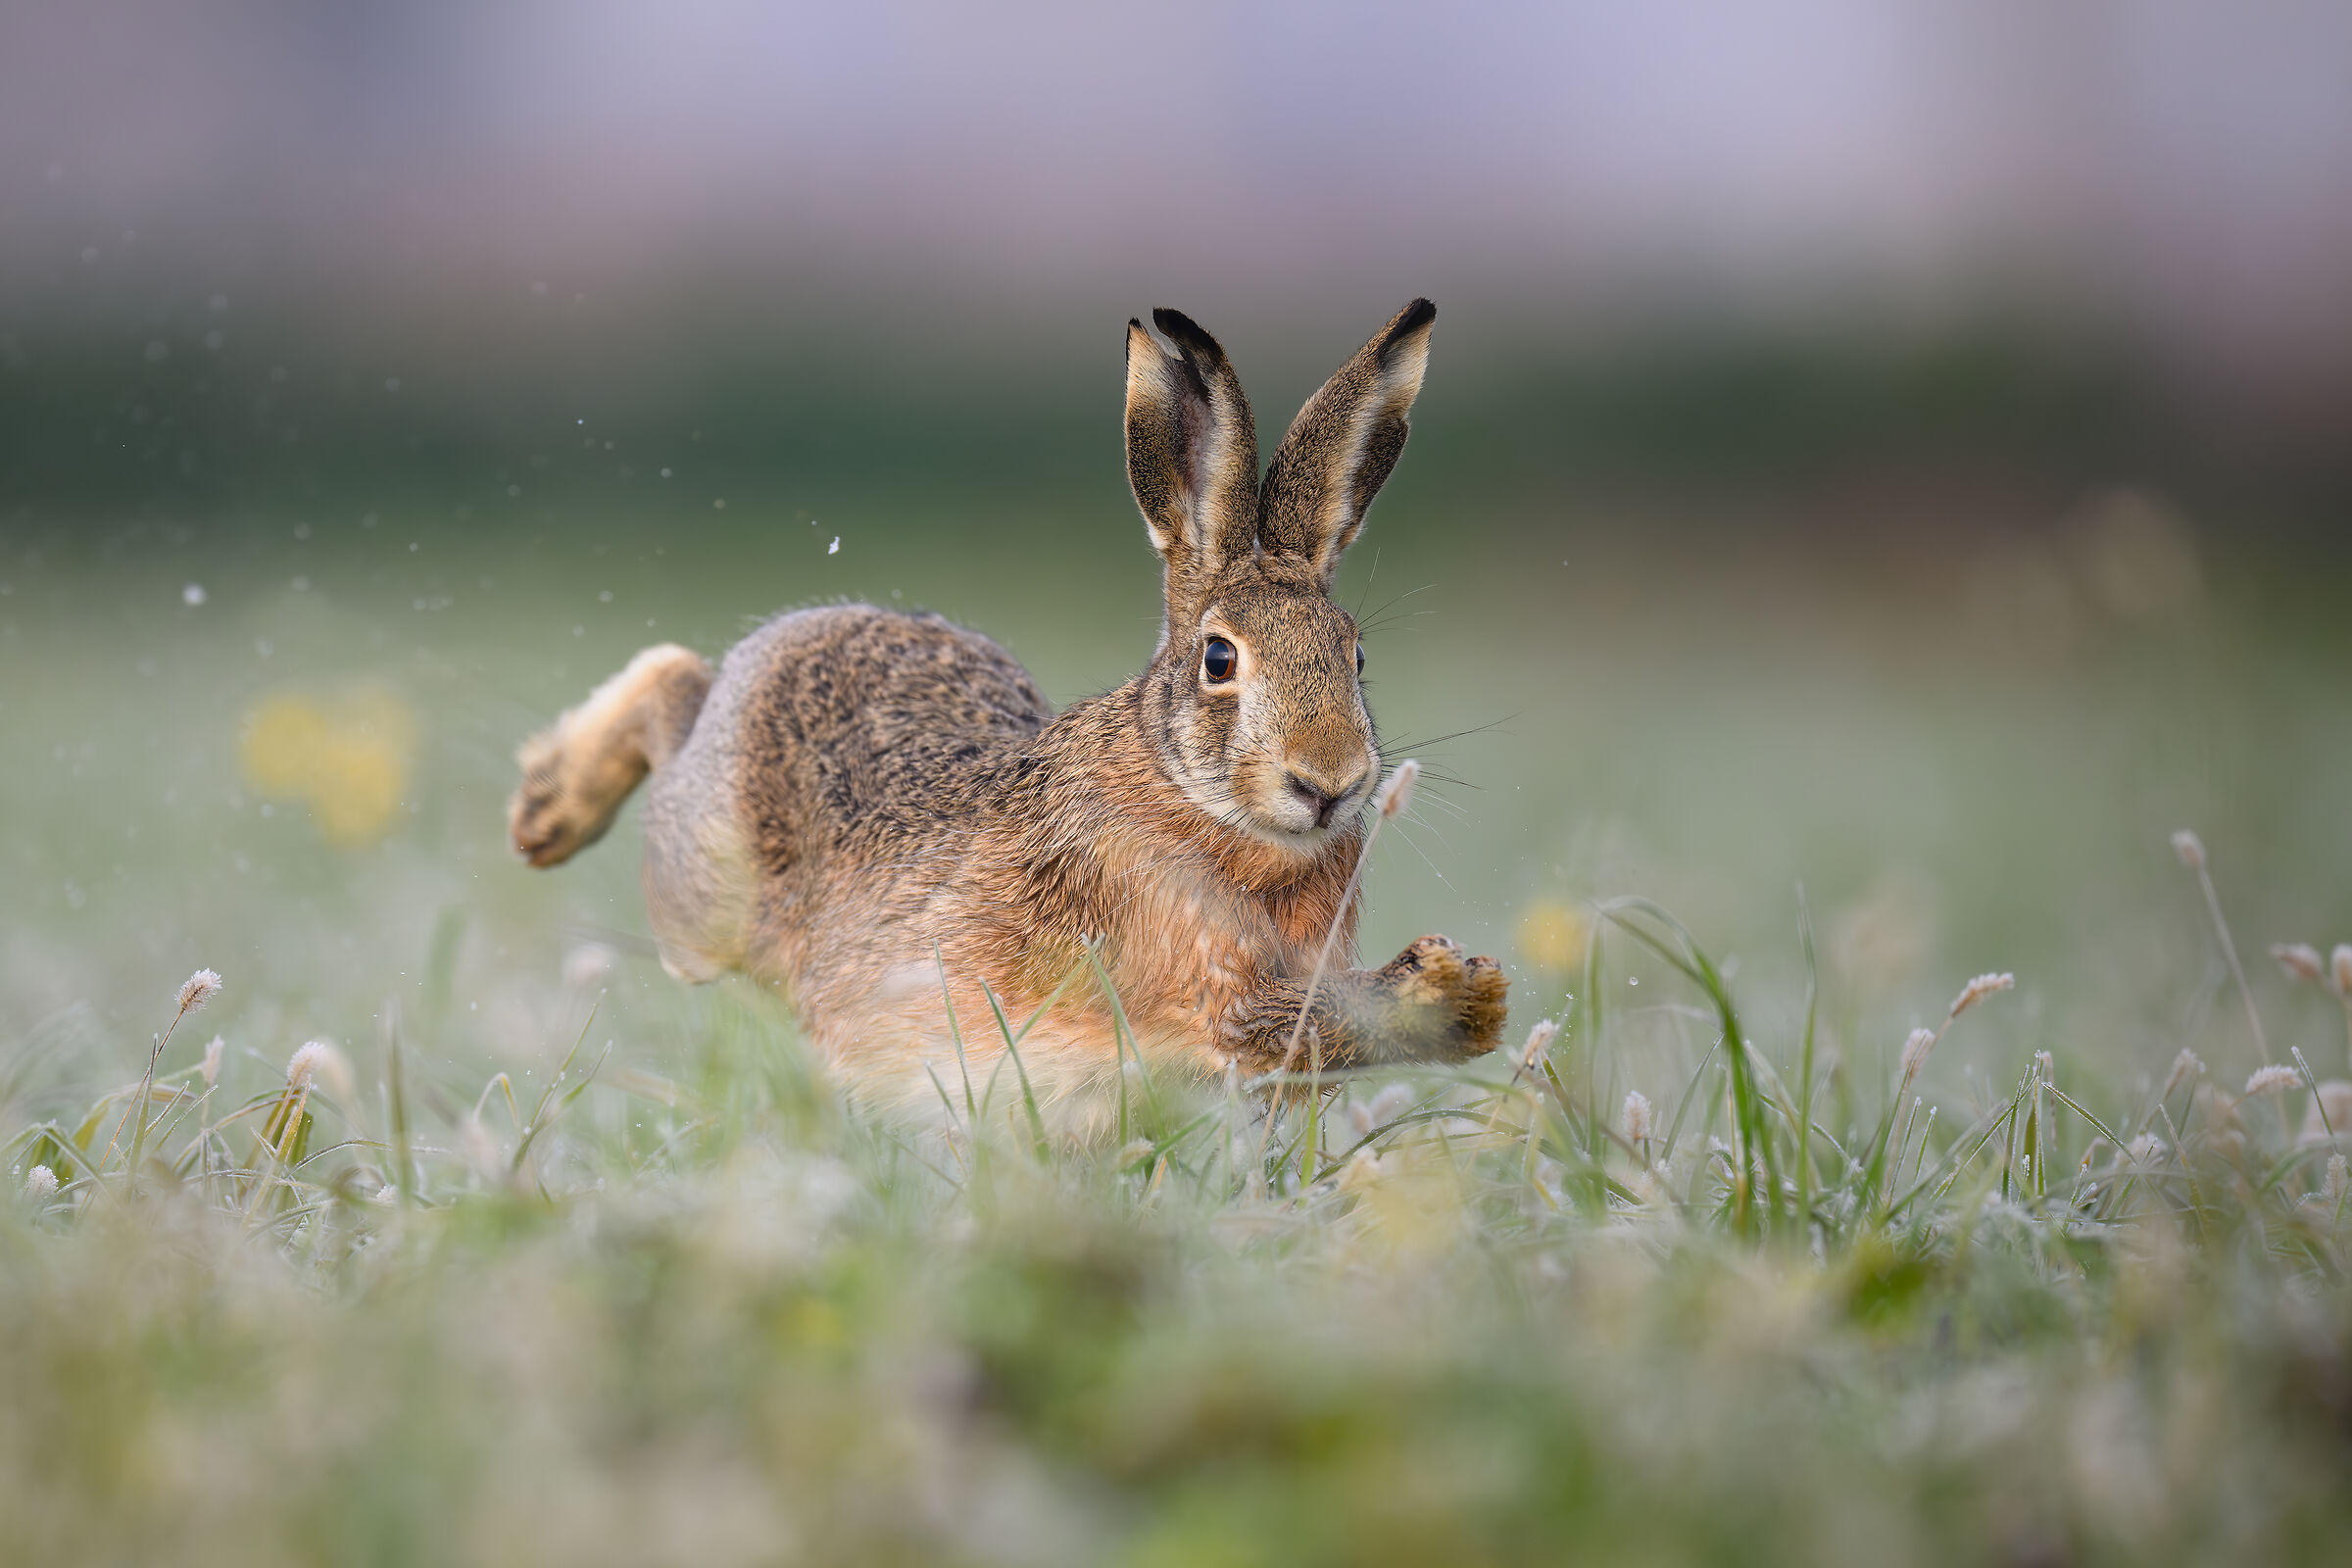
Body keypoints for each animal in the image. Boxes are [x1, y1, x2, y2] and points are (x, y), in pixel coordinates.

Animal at [509, 299, 1506, 1117]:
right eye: (1220, 660)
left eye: (1356, 656)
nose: (1328, 782)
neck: (1188, 794)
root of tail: (814, 627)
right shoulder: (1190, 973)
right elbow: (1286, 1019)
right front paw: (1458, 993)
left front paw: (1476, 997)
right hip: (701, 891)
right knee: (671, 690)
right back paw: (547, 811)